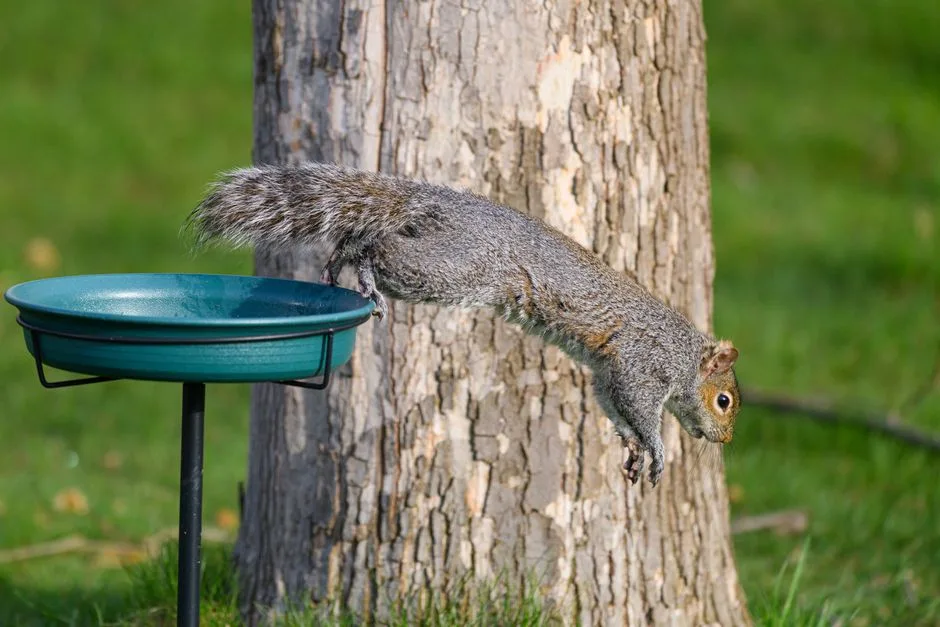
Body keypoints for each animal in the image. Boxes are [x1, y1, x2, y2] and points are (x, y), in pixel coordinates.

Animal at [187, 162, 741, 487]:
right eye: (724, 401)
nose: (723, 441)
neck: (685, 355)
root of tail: (436, 200)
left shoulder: (607, 374)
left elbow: (613, 406)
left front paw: (631, 447)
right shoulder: (642, 363)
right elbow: (640, 406)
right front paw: (656, 446)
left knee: (362, 235)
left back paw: (340, 259)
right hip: (456, 269)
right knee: (380, 247)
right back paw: (361, 268)